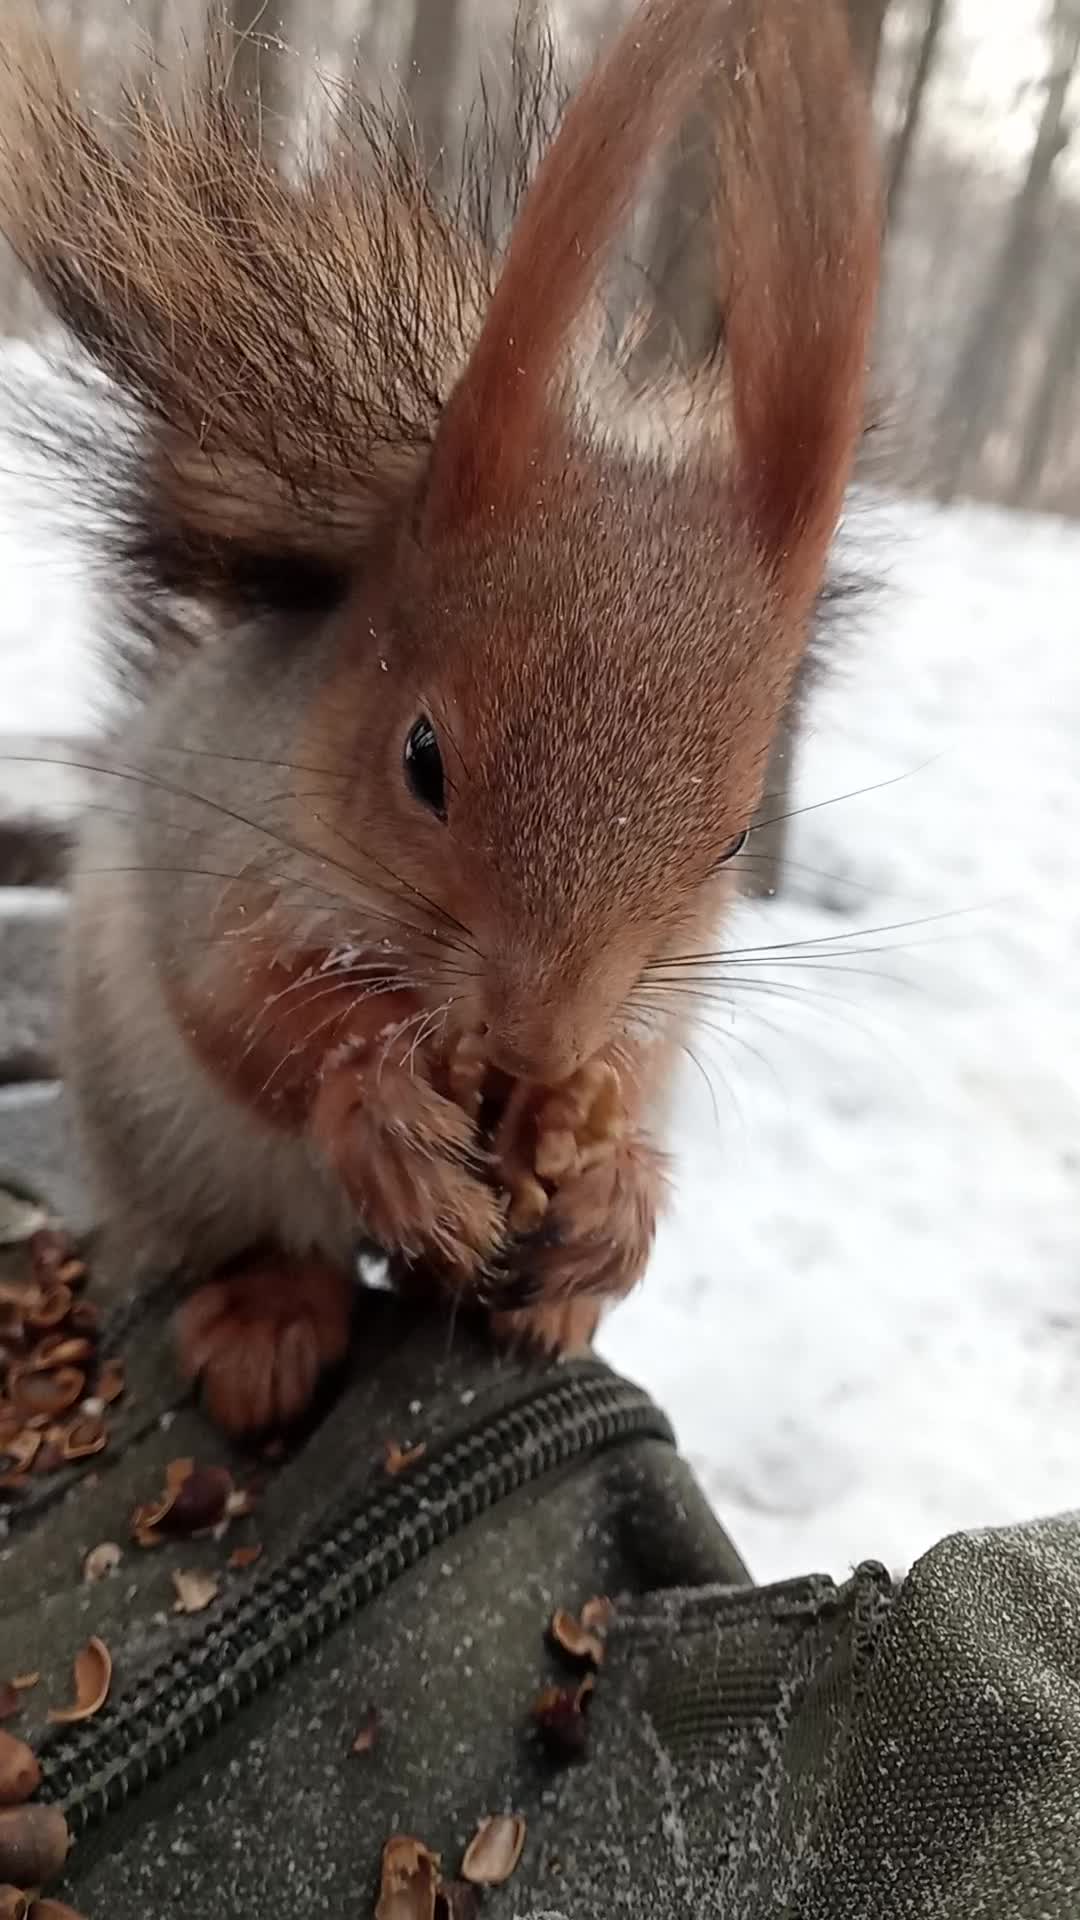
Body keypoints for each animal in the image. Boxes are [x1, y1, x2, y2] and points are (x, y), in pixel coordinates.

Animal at [0, 0, 876, 1436]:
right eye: (422, 760)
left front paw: (612, 1180)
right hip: (162, 1131)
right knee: (261, 1237)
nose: (537, 1037)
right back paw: (268, 1319)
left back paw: (556, 1287)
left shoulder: (666, 991)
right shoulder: (216, 847)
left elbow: (636, 1071)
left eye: (735, 841)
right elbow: (246, 1014)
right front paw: (380, 1113)